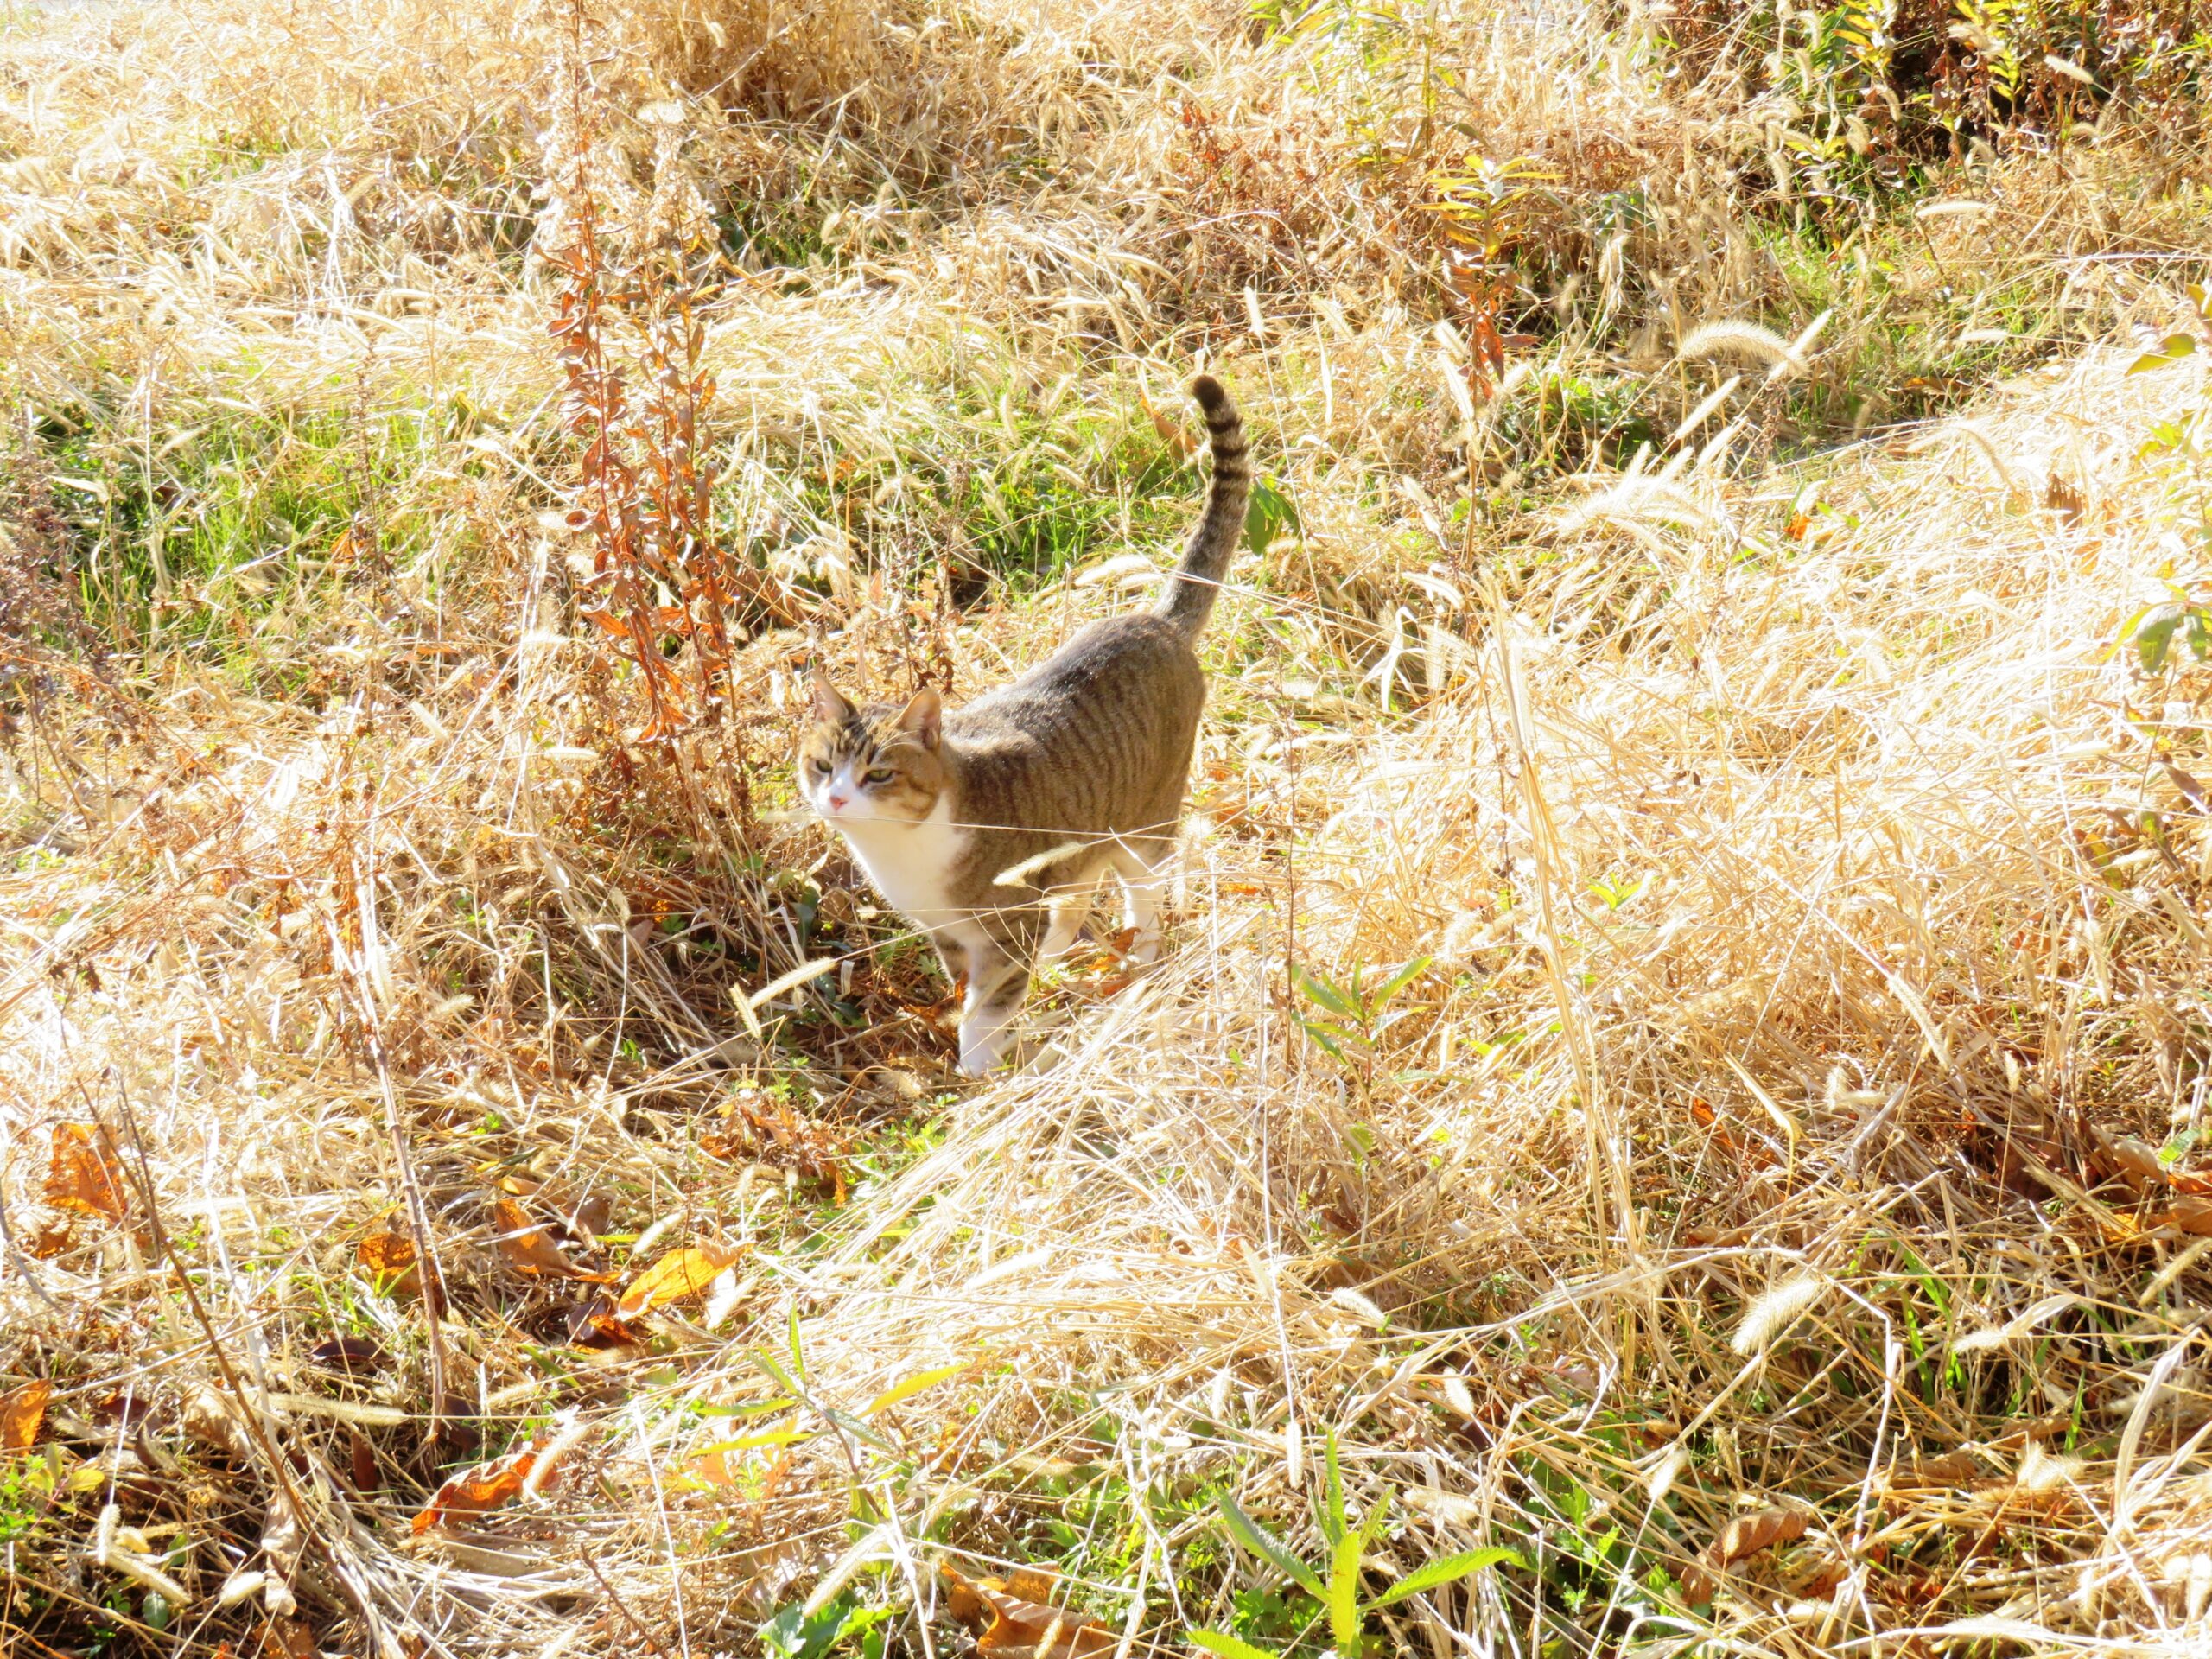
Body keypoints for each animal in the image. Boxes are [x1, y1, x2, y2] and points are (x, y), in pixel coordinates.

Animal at [800, 376, 1256, 1079]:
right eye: (823, 766)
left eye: (878, 774)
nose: (838, 798)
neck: (906, 852)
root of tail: (1154, 622)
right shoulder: (948, 934)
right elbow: (968, 988)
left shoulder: (1006, 925)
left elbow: (988, 1007)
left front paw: (980, 1073)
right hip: (1082, 840)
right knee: (1076, 897)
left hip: (1145, 826)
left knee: (1141, 896)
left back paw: (1139, 960)